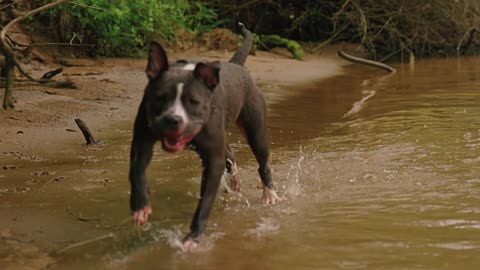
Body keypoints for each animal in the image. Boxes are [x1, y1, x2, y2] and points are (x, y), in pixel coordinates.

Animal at [129, 23, 280, 249]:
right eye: (159, 98)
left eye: (194, 101)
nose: (173, 119)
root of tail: (236, 65)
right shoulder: (141, 140)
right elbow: (136, 171)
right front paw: (140, 207)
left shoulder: (213, 159)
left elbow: (205, 202)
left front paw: (193, 237)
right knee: (230, 154)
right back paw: (234, 183)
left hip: (256, 132)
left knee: (263, 163)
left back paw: (270, 194)